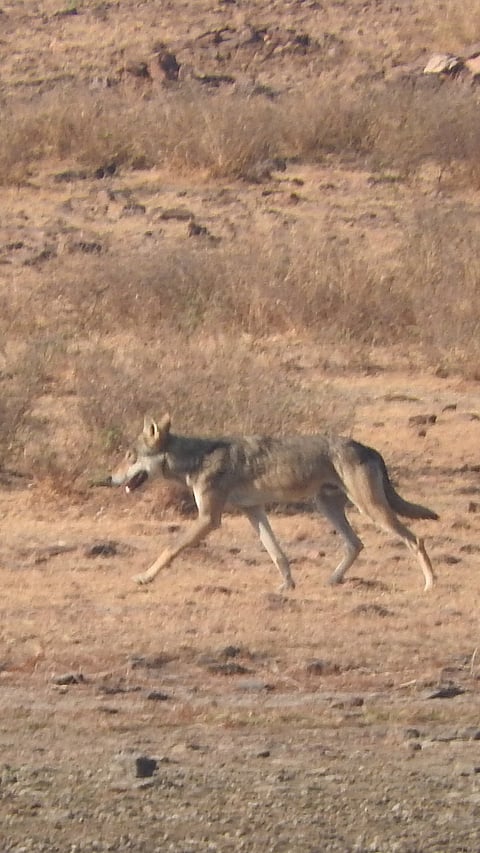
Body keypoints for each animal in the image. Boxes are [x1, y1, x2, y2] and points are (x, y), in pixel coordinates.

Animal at [103, 414, 438, 591]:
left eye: (130, 457)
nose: (110, 478)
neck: (196, 458)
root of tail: (367, 447)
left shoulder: (209, 519)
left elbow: (170, 548)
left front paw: (145, 576)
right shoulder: (254, 510)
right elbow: (277, 553)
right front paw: (287, 586)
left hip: (371, 511)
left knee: (416, 539)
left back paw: (431, 583)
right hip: (328, 507)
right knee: (356, 544)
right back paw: (332, 579)